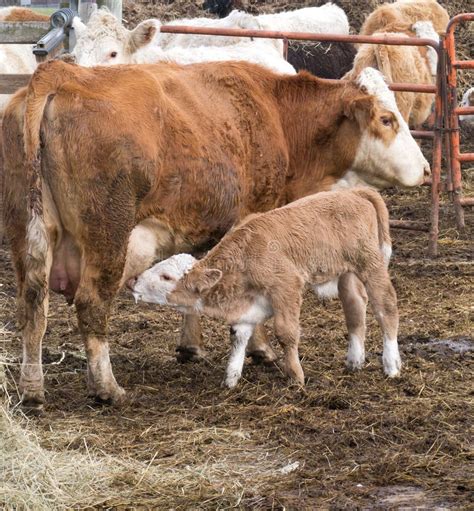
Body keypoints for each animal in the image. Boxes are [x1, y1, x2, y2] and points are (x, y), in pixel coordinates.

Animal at [131, 188, 400, 388]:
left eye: (166, 276)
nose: (134, 281)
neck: (245, 256)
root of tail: (354, 192)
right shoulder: (248, 307)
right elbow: (238, 336)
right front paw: (231, 379)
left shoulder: (286, 287)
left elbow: (285, 333)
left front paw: (296, 377)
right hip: (346, 272)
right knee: (355, 305)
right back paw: (355, 360)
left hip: (370, 263)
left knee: (386, 308)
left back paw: (391, 365)